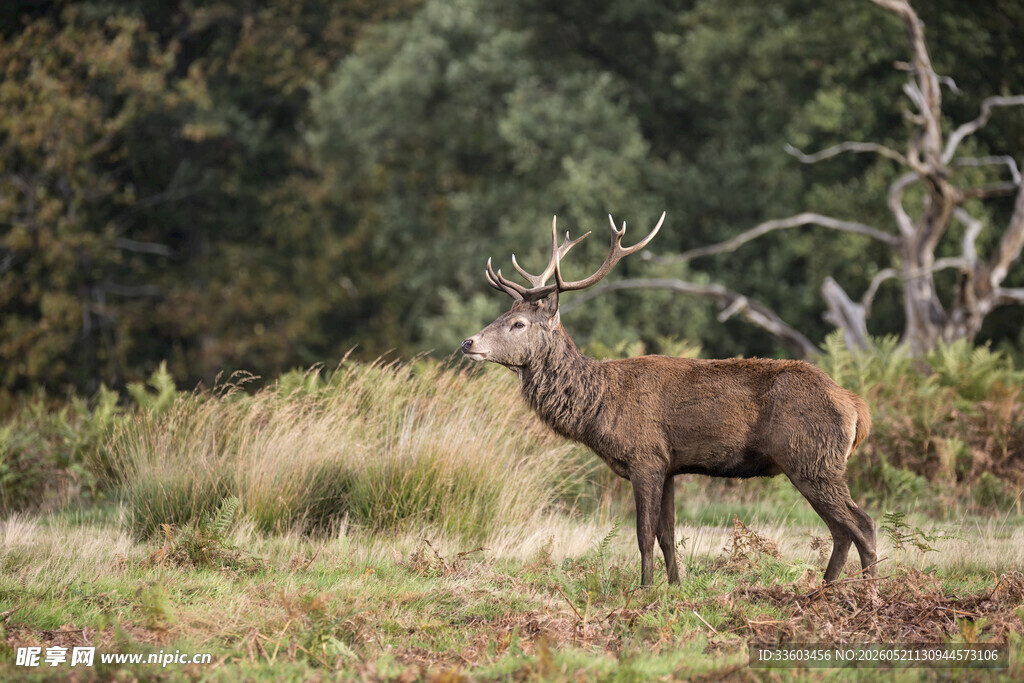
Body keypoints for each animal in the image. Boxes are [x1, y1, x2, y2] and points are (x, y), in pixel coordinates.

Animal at [461, 213, 876, 586]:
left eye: (518, 324)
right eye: (503, 313)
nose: (468, 342)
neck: (599, 409)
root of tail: (857, 407)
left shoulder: (644, 456)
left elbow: (644, 535)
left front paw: (644, 589)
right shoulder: (671, 464)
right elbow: (668, 535)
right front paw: (675, 585)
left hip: (812, 458)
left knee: (863, 524)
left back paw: (868, 591)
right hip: (816, 463)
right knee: (841, 531)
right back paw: (824, 588)